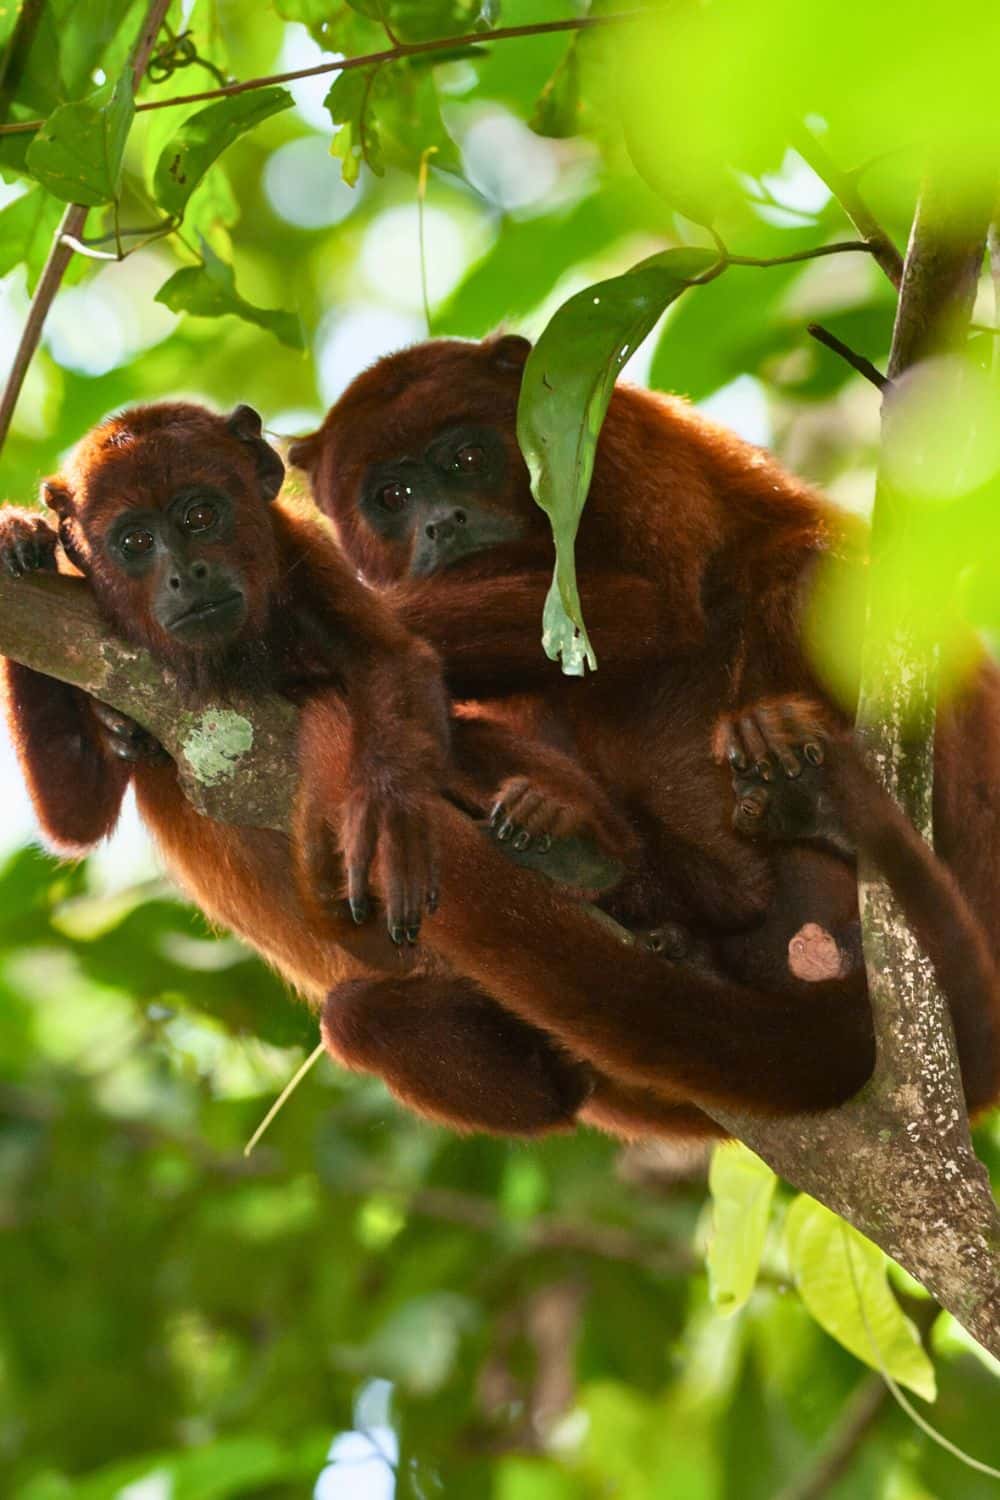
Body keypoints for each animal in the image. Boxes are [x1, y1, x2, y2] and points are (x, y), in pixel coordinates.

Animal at [287, 331, 1000, 1128]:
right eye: (392, 497)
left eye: (467, 459)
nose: (443, 523)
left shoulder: (613, 446)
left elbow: (654, 605)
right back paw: (595, 854)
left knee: (808, 567)